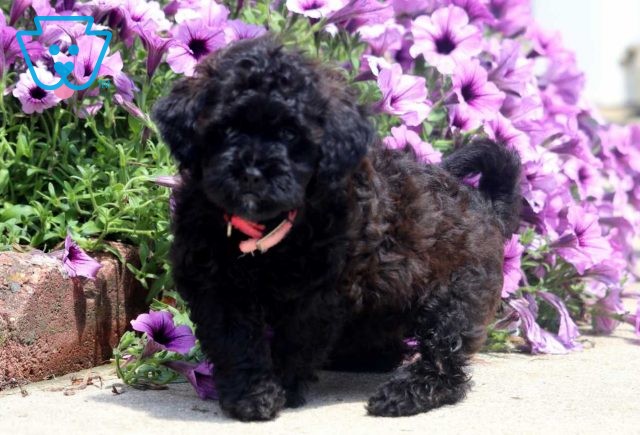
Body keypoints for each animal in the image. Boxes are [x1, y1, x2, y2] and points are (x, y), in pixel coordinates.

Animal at [154, 36, 520, 422]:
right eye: (225, 129)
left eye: (290, 134)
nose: (252, 172)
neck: (268, 229)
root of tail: (487, 205)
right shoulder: (215, 283)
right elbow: (234, 339)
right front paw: (252, 393)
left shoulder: (322, 293)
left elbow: (296, 340)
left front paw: (280, 385)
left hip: (456, 294)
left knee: (445, 358)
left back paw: (405, 393)